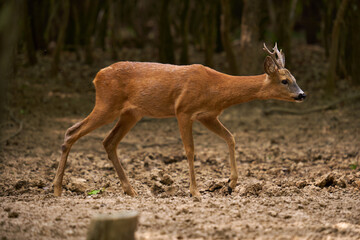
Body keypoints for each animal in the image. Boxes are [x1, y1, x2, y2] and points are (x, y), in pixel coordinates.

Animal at [54, 43, 306, 197]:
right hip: (107, 103)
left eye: (295, 78)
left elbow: (231, 138)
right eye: (284, 81)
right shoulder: (183, 110)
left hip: (131, 113)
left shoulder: (208, 115)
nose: (302, 94)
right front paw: (195, 192)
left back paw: (131, 190)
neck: (216, 89)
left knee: (108, 141)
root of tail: (97, 76)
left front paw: (230, 184)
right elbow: (190, 150)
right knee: (71, 131)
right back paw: (57, 189)